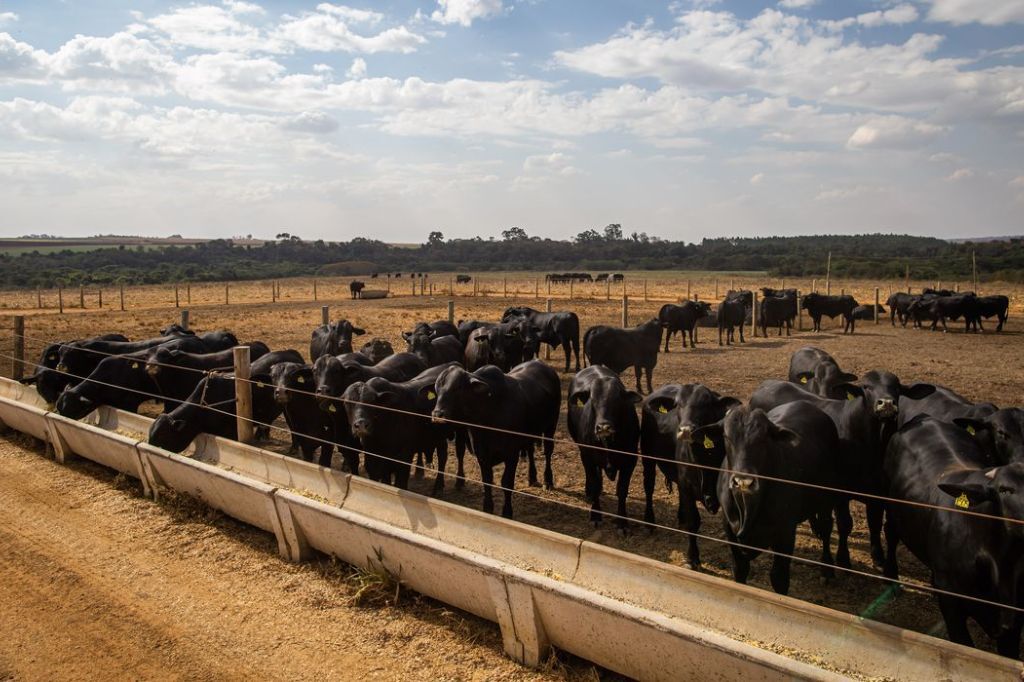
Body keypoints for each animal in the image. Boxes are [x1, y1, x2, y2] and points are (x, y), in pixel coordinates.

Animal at [569, 364, 638, 528]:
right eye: (592, 400)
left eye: (617, 400)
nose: (603, 427)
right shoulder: (587, 456)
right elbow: (594, 483)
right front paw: (595, 515)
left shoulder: (630, 460)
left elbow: (622, 490)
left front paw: (622, 521)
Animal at [638, 382, 737, 569]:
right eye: (678, 404)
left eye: (706, 404)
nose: (685, 430)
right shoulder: (688, 488)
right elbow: (694, 522)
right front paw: (692, 558)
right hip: (648, 456)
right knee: (648, 485)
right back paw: (649, 520)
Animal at [880, 411, 1024, 655]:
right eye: (1005, 490)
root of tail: (926, 418)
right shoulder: (952, 607)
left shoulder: (1013, 625)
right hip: (890, 507)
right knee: (890, 534)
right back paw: (892, 580)